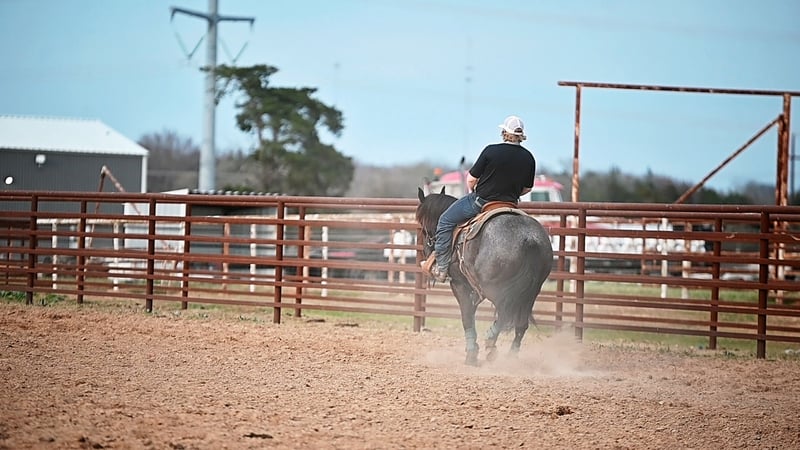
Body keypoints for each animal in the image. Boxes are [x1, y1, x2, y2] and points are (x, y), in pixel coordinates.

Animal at [416, 187, 553, 366]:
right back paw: (510, 356)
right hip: (531, 291)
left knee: (504, 313)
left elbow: (467, 316)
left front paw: (471, 354)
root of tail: (529, 239)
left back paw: (490, 344)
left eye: (422, 226)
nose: (427, 251)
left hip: (496, 288)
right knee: (521, 323)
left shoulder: (459, 284)